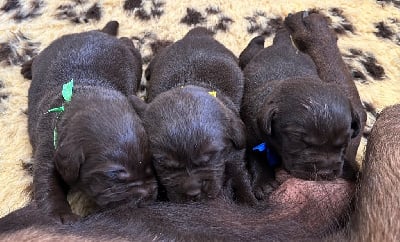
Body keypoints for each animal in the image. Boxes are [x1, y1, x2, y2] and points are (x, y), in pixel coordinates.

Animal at [22, 21, 158, 224]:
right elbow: (48, 183)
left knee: (127, 42)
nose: (149, 195)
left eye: (151, 163)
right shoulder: (48, 148)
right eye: (114, 175)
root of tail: (98, 33)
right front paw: (61, 215)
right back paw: (27, 66)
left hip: (132, 57)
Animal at [131, 27, 256, 204]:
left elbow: (239, 175)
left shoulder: (236, 153)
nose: (192, 192)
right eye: (164, 164)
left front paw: (249, 200)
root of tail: (196, 34)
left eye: (209, 157)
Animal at [239, 11, 368, 199]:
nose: (325, 173)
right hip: (249, 59)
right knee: (248, 54)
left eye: (343, 144)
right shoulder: (250, 135)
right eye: (299, 142)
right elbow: (257, 157)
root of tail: (283, 43)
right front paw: (264, 183)